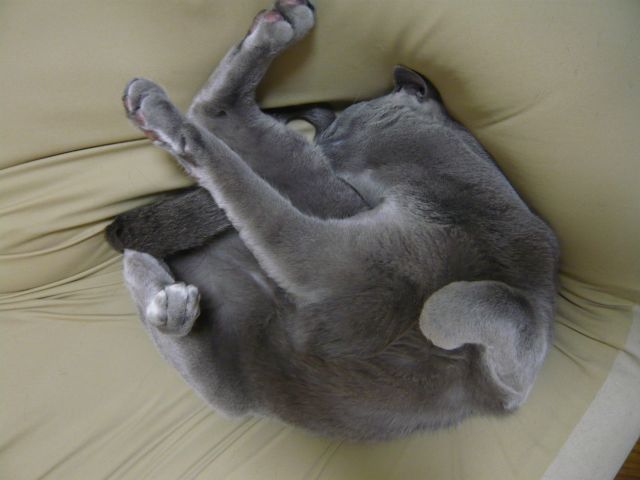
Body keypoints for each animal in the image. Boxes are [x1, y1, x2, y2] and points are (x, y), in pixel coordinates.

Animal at [107, 0, 559, 440]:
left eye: (342, 123)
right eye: (330, 129)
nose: (321, 141)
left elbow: (484, 304)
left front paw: (436, 324)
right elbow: (250, 182)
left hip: (238, 382)